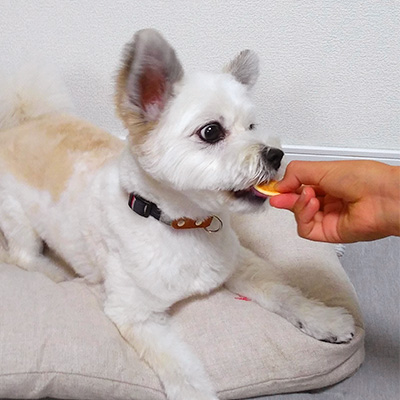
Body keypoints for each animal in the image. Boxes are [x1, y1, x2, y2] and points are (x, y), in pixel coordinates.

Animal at [0, 28, 356, 400]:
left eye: (252, 126)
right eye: (211, 131)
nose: (275, 155)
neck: (183, 224)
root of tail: (23, 123)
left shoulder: (239, 263)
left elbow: (284, 293)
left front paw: (323, 319)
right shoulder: (135, 315)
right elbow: (182, 369)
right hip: (18, 219)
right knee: (22, 256)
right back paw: (54, 272)